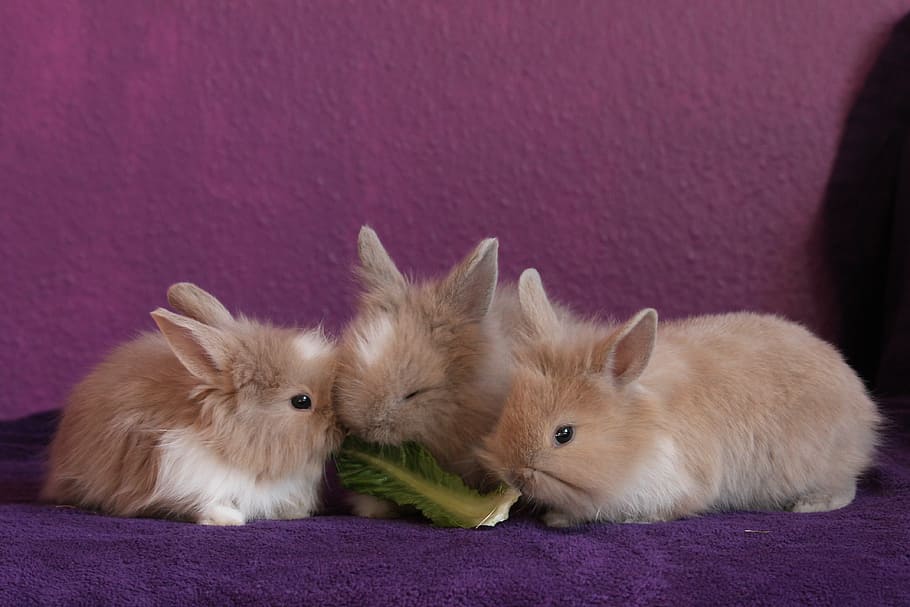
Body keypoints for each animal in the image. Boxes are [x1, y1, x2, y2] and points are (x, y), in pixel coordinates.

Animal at [476, 269, 881, 527]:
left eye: (564, 435)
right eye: (505, 414)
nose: (514, 474)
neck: (635, 436)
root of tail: (862, 403)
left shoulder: (671, 485)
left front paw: (558, 518)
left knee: (846, 487)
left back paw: (810, 505)